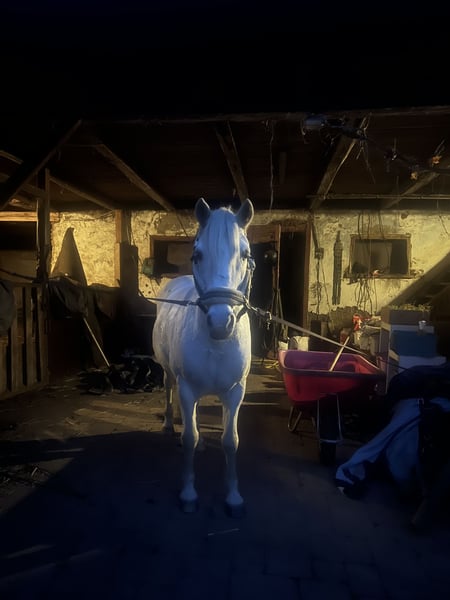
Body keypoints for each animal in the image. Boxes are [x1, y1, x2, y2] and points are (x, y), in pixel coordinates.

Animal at [152, 197, 255, 516]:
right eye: (197, 255)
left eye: (245, 255)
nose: (220, 322)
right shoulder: (187, 388)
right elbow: (189, 438)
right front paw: (188, 494)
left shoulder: (235, 391)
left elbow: (231, 441)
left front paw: (233, 497)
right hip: (170, 375)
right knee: (169, 391)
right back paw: (168, 424)